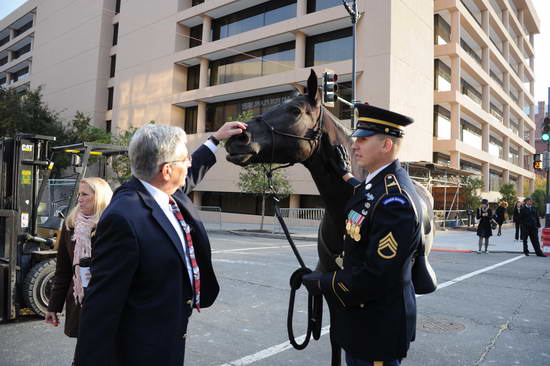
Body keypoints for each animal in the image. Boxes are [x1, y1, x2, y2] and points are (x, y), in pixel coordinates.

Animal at [224, 69, 436, 366]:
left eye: (294, 110)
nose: (235, 139)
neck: (343, 209)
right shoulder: (332, 291)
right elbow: (337, 340)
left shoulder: (344, 287)